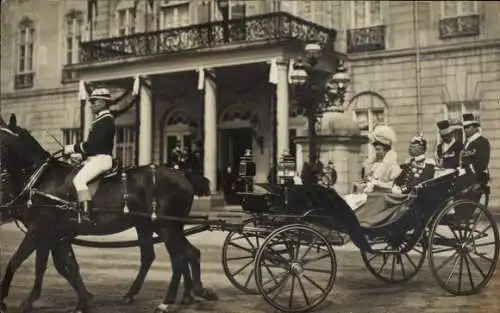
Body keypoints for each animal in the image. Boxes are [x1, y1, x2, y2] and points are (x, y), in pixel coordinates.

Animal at [0, 115, 217, 312]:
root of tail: (182, 174)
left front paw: (14, 299)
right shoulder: (55, 235)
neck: (42, 179)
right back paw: (188, 293)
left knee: (178, 258)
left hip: (166, 226)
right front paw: (84, 300)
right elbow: (65, 266)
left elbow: (19, 263)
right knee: (181, 254)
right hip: (155, 226)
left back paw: (168, 301)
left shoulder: (40, 231)